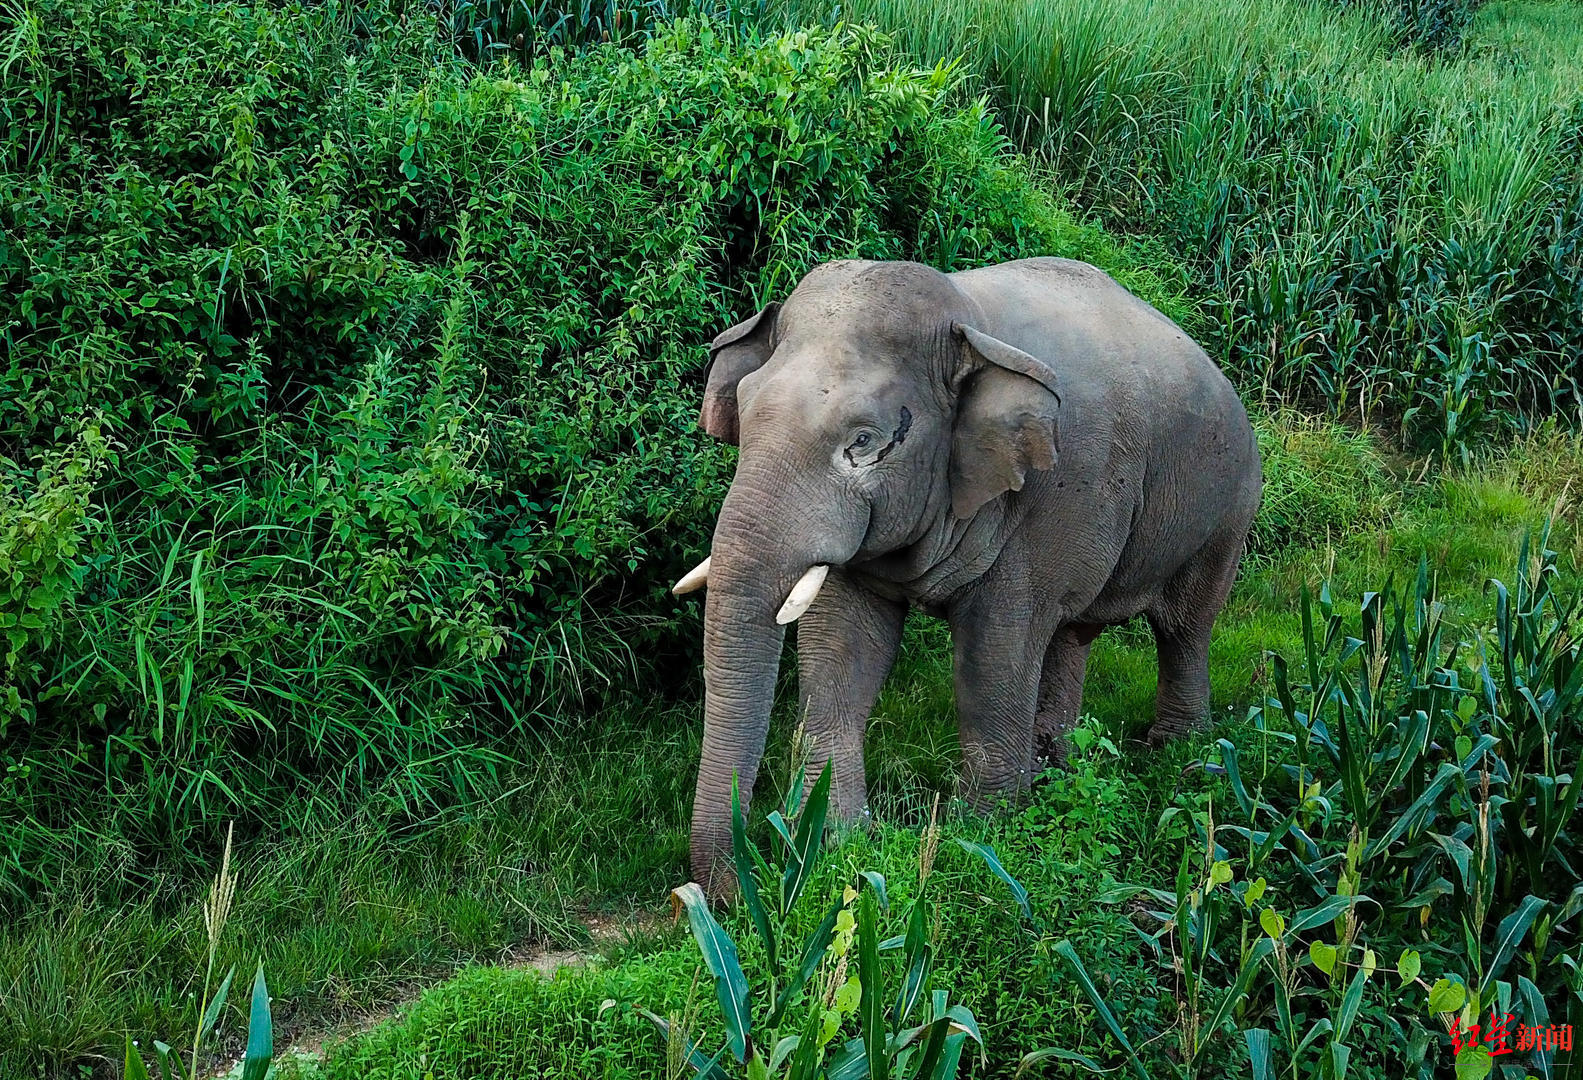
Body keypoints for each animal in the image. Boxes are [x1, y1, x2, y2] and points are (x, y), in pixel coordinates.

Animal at [671, 254, 1260, 893]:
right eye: (744, 411)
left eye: (864, 441)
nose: (723, 894)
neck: (966, 319)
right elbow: (841, 649)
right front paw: (838, 842)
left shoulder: (1048, 496)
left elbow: (994, 653)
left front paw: (981, 833)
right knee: (1070, 631)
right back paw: (1056, 764)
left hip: (1228, 506)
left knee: (1184, 625)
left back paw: (1179, 751)